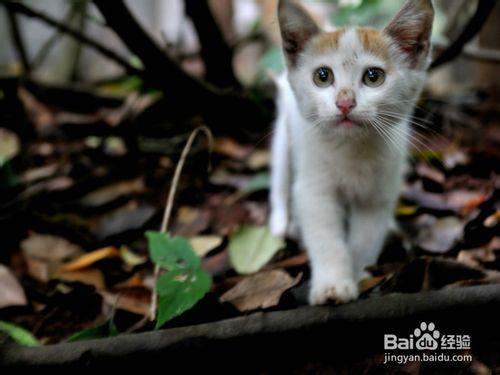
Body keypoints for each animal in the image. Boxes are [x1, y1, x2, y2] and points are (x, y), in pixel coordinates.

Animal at [270, 0, 434, 306]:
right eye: (322, 76)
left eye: (373, 76)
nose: (344, 102)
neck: (352, 148)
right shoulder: (315, 190)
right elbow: (325, 237)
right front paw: (332, 285)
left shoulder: (379, 193)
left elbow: (365, 238)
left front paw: (358, 275)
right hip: (284, 133)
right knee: (280, 177)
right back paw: (281, 222)